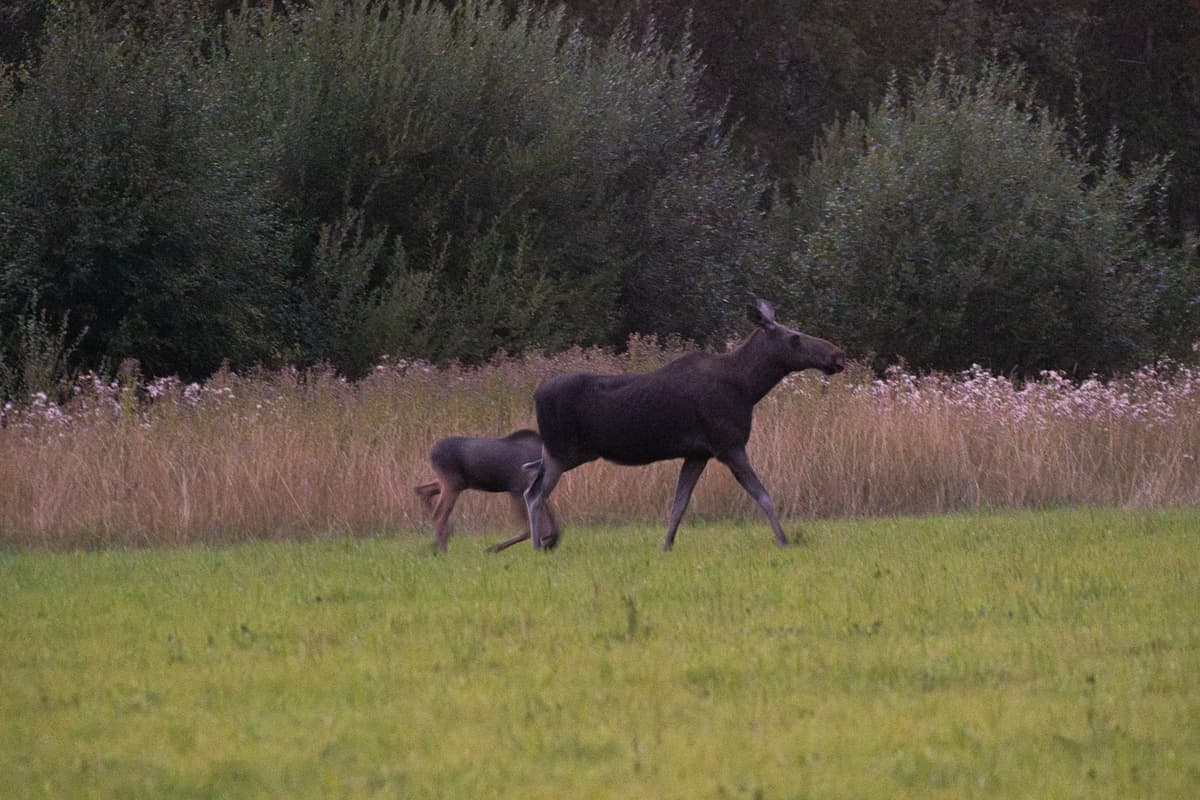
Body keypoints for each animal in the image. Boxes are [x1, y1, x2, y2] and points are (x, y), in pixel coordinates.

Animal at [415, 429, 560, 552]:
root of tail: (431, 453)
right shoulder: (516, 489)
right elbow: (528, 529)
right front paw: (492, 549)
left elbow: (552, 525)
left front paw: (549, 542)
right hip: (452, 484)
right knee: (439, 515)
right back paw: (443, 550)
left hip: (456, 483)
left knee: (421, 491)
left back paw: (441, 538)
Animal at [522, 299, 846, 552]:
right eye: (795, 338)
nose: (837, 355)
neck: (749, 388)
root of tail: (536, 394)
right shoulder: (729, 445)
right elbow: (764, 496)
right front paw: (783, 540)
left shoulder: (698, 453)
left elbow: (679, 503)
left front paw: (666, 545)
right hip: (562, 451)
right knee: (535, 495)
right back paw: (538, 546)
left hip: (560, 453)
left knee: (530, 487)